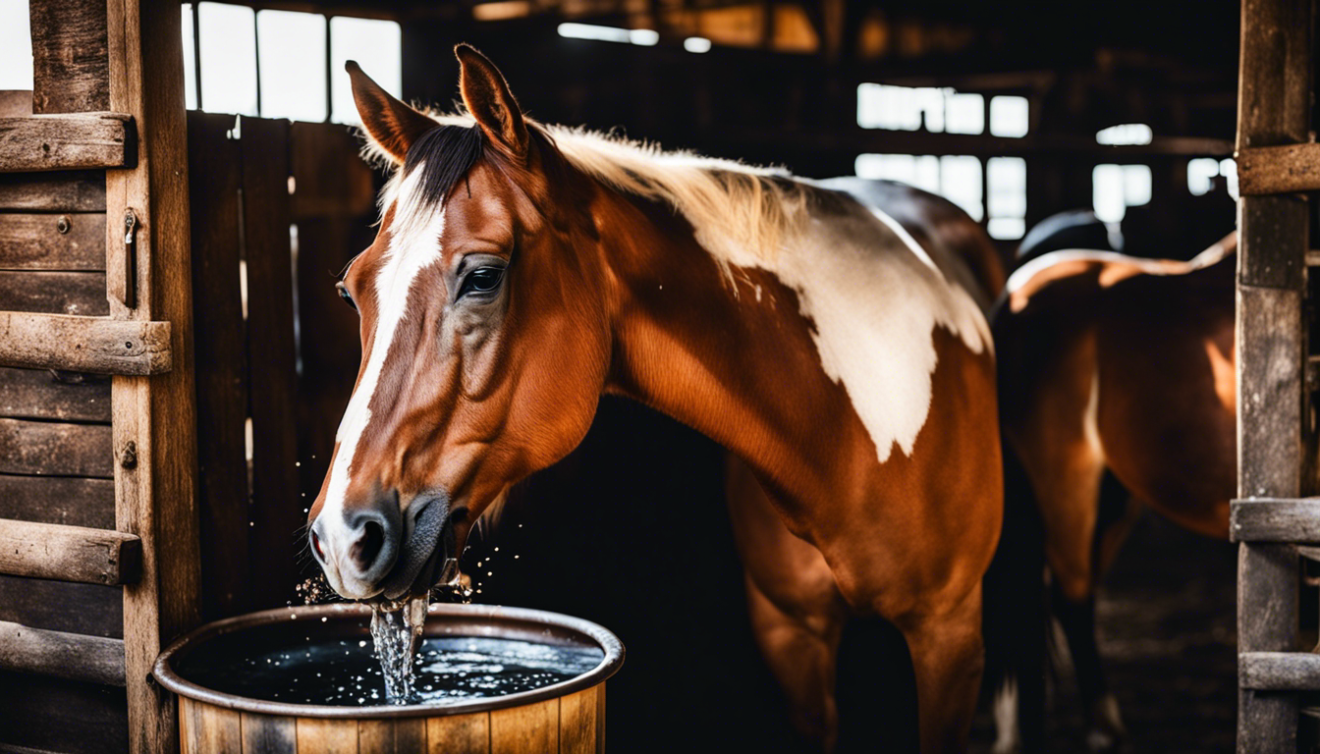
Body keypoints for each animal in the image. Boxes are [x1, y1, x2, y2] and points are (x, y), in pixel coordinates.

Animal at [304, 44, 1003, 752]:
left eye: (482, 277)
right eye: (349, 290)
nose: (343, 535)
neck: (847, 429)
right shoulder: (790, 634)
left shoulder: (949, 636)